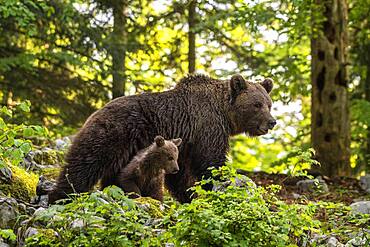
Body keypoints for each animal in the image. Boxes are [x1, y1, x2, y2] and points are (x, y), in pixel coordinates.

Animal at [48, 73, 274, 203]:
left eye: (269, 104)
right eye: (257, 104)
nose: (272, 122)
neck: (224, 112)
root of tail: (97, 110)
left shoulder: (183, 145)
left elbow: (180, 175)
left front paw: (189, 195)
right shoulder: (207, 127)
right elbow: (211, 162)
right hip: (113, 134)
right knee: (85, 163)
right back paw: (61, 196)